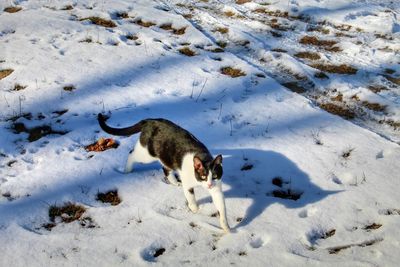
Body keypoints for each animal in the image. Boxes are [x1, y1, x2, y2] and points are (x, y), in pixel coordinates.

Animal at [97, 114, 231, 233]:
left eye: (214, 176)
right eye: (203, 176)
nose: (209, 185)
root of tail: (150, 120)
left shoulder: (217, 189)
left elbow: (222, 208)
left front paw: (226, 228)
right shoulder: (188, 184)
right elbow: (191, 197)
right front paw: (195, 209)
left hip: (165, 156)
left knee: (166, 168)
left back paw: (174, 182)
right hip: (147, 154)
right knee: (131, 154)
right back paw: (127, 171)